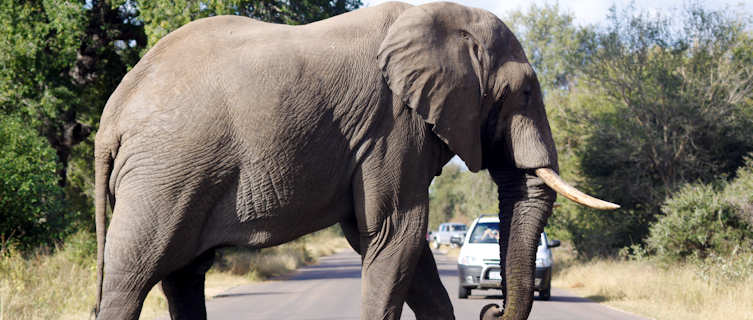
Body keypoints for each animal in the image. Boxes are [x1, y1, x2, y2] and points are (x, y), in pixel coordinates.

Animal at [92, 1, 616, 318]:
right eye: (525, 92)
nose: (491, 311)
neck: (441, 17)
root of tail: (111, 117)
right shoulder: (392, 126)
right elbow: (395, 234)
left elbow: (405, 251)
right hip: (164, 177)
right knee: (131, 277)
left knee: (182, 277)